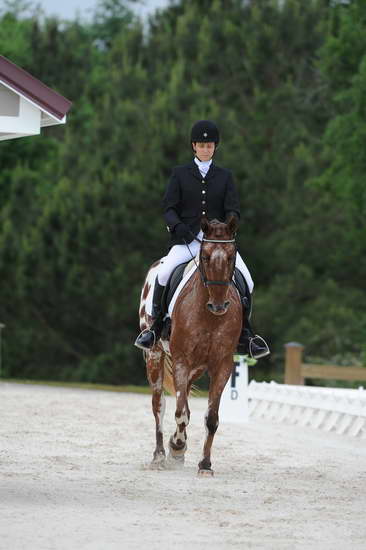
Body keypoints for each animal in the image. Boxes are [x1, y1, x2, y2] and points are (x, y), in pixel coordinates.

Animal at [139, 216, 242, 478]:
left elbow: (211, 418)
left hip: (196, 368)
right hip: (154, 356)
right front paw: (176, 446)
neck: (209, 316)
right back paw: (159, 455)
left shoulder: (222, 365)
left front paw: (205, 465)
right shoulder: (181, 361)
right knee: (160, 405)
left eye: (231, 256)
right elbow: (180, 413)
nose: (219, 306)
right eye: (205, 256)